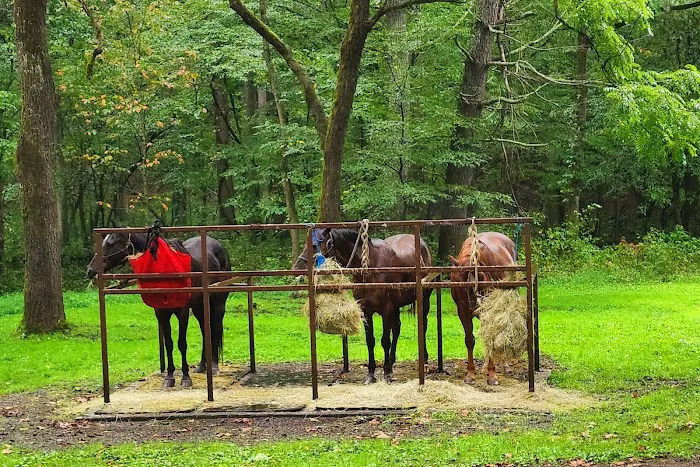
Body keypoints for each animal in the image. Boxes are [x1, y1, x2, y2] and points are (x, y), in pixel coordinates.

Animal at [86, 232, 231, 388]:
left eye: (111, 243)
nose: (89, 270)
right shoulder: (161, 313)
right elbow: (169, 344)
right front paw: (169, 377)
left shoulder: (183, 312)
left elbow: (182, 343)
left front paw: (186, 378)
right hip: (199, 306)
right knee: (205, 331)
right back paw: (202, 365)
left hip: (218, 302)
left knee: (216, 329)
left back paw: (214, 366)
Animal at [293, 228, 433, 384]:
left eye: (313, 245)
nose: (296, 268)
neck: (370, 268)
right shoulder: (366, 311)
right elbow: (370, 341)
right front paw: (371, 374)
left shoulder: (386, 309)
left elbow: (385, 341)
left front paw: (386, 373)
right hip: (396, 307)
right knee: (397, 328)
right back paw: (392, 363)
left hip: (423, 300)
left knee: (422, 326)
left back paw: (424, 363)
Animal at [448, 231, 515, 386]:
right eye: (463, 280)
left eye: (482, 276)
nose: (475, 304)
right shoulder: (463, 312)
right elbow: (469, 340)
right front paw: (470, 373)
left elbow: (491, 337)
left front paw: (492, 375)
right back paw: (484, 367)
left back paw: (504, 365)